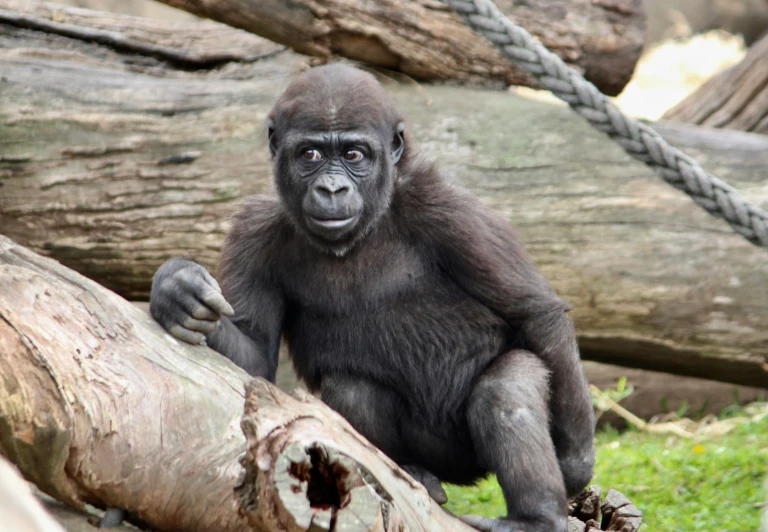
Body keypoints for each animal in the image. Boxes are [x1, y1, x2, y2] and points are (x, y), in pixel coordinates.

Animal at [148, 63, 592, 532]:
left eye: (354, 155)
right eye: (310, 155)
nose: (332, 190)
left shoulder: (450, 209)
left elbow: (535, 314)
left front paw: (575, 463)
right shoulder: (252, 229)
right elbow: (255, 360)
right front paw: (175, 290)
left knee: (507, 389)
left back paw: (535, 516)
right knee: (352, 389)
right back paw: (412, 473)